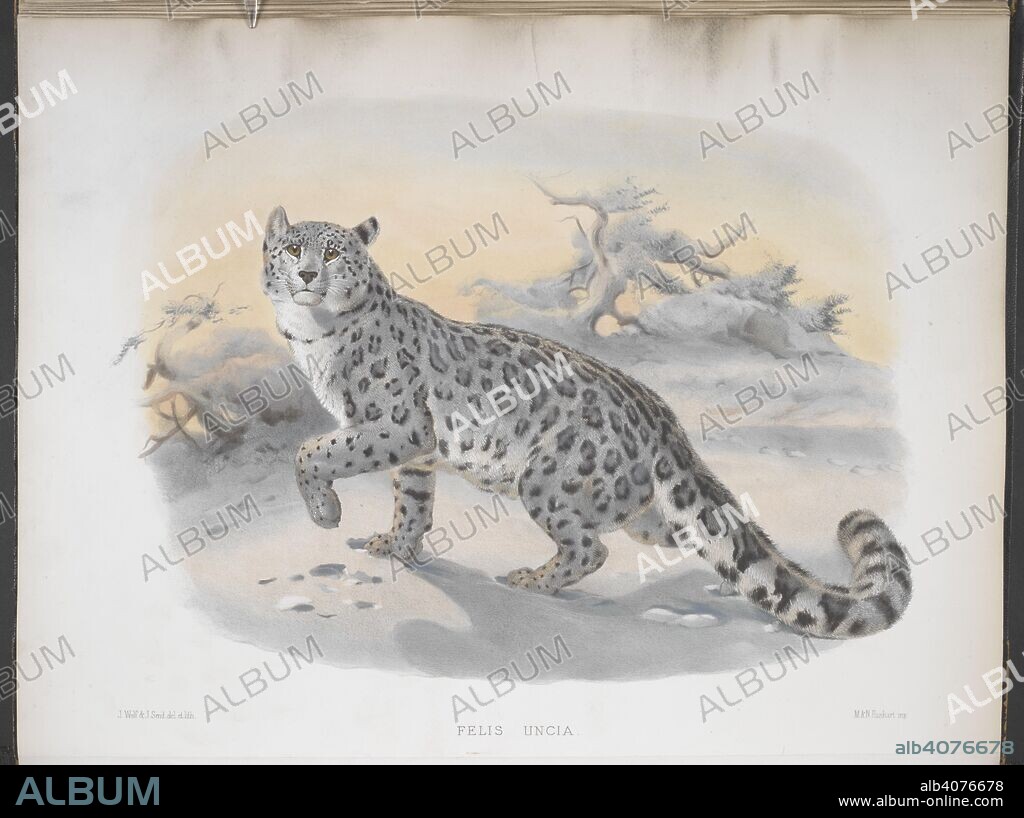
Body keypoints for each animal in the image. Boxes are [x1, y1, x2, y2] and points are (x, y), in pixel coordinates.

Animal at [260, 206, 912, 639]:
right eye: (292, 249)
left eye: (334, 252)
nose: (308, 275)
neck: (312, 337)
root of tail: (661, 417)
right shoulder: (415, 452)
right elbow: (412, 502)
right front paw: (394, 545)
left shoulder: (395, 425)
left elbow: (314, 451)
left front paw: (326, 513)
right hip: (651, 516)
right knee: (713, 539)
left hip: (547, 482)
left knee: (589, 548)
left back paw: (529, 579)